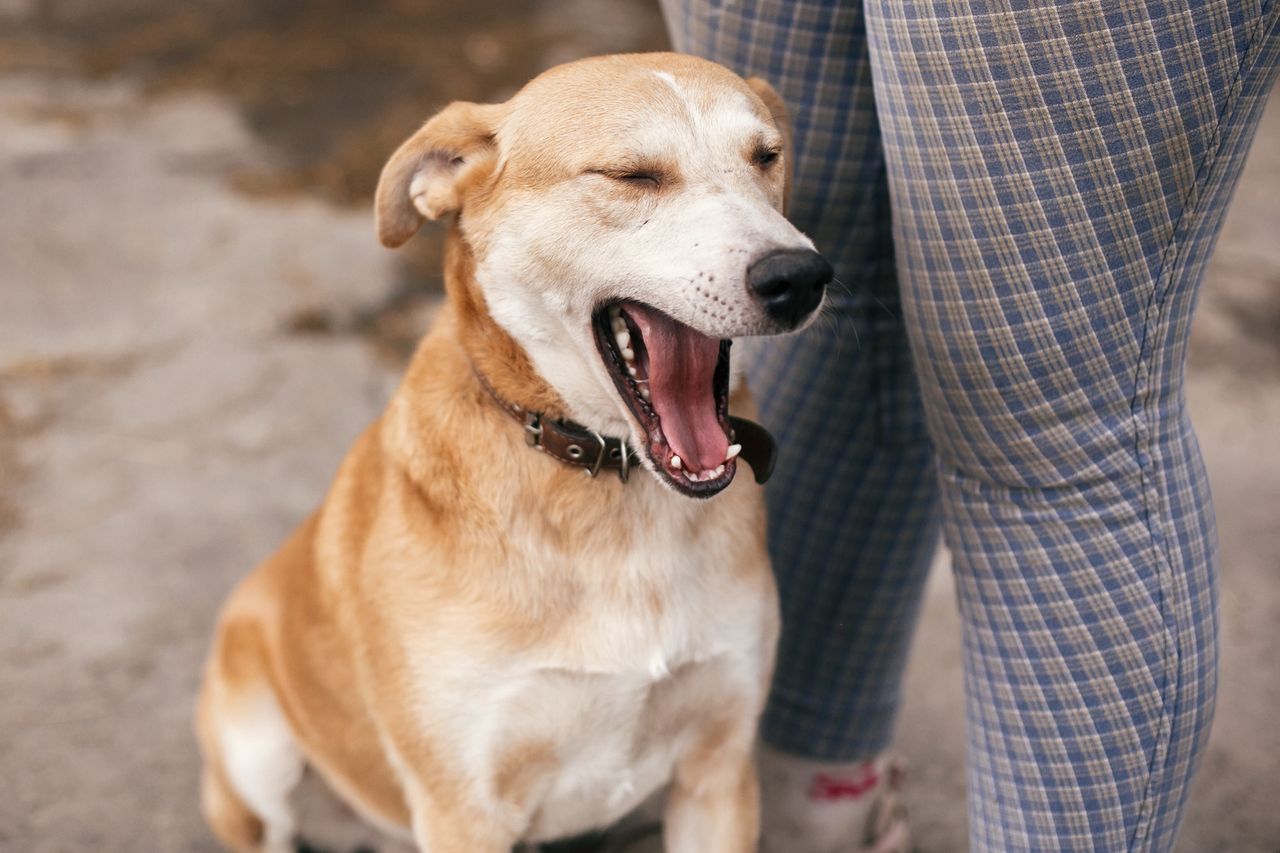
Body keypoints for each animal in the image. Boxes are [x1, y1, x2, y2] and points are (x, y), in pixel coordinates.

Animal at [189, 53, 829, 850]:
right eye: (633, 175)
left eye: (765, 157)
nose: (799, 277)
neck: (612, 489)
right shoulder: (464, 807)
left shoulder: (718, 770)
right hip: (257, 756)